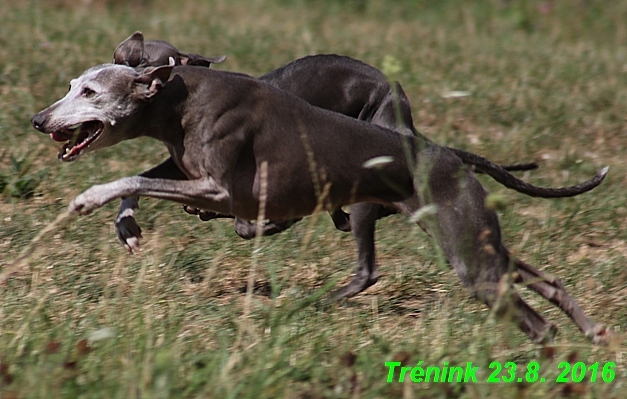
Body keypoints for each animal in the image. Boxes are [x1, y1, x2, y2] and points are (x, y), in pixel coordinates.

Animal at [31, 50, 612, 346]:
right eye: (72, 84)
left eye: (89, 92)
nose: (38, 120)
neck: (179, 96)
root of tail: (449, 154)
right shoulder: (189, 171)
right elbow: (142, 181)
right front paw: (126, 224)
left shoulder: (219, 190)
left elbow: (132, 179)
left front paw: (90, 198)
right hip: (478, 241)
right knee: (548, 282)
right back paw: (592, 333)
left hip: (463, 257)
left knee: (535, 324)